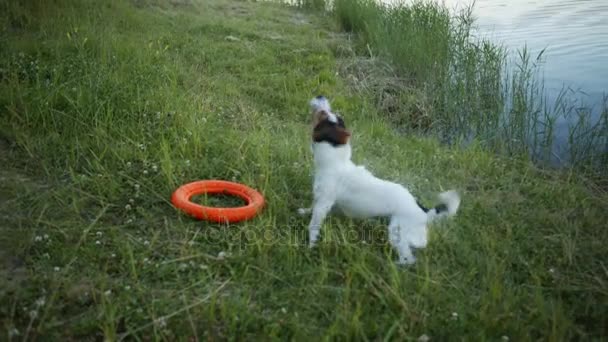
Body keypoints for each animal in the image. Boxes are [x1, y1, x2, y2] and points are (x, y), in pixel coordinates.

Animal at [300, 96, 460, 264]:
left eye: (323, 113)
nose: (321, 96)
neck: (335, 161)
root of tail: (424, 212)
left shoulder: (324, 203)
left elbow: (313, 225)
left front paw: (310, 246)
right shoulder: (321, 200)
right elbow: (312, 207)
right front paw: (305, 212)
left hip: (397, 232)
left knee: (408, 258)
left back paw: (392, 264)